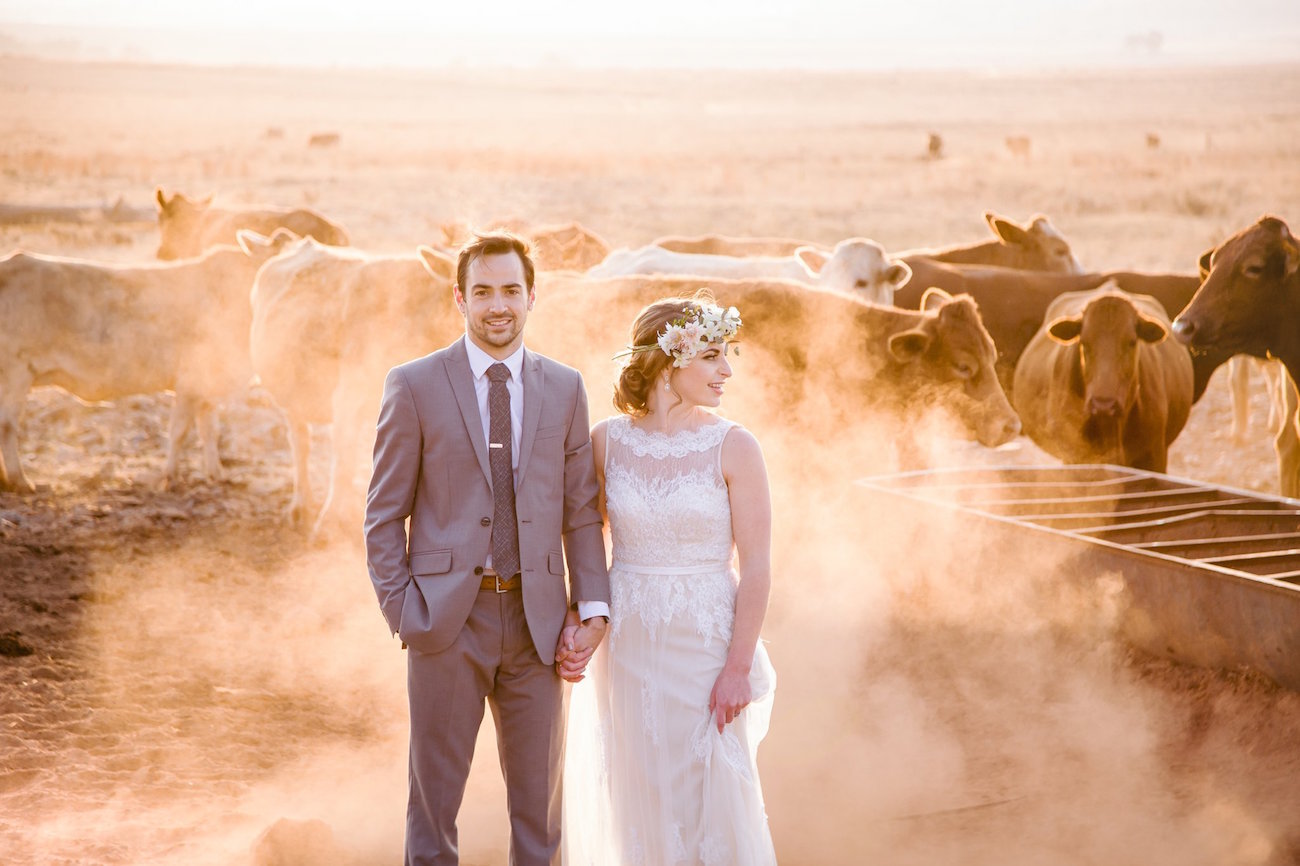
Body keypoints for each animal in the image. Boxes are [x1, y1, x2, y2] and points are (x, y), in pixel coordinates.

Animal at [0, 226, 297, 488]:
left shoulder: (207, 381)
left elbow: (209, 430)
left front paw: (217, 474)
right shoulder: (190, 380)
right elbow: (179, 431)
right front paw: (171, 477)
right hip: (15, 372)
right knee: (7, 425)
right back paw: (20, 480)